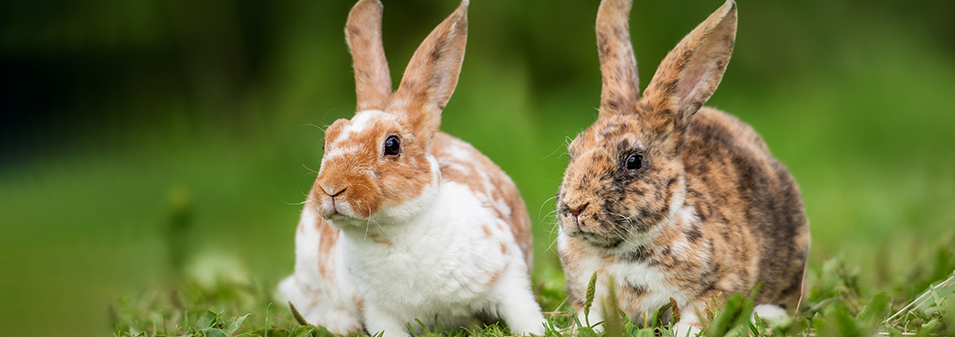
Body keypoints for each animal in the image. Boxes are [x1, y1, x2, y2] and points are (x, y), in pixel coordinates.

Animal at [276, 0, 544, 334]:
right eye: (326, 142)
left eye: (392, 145)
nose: (332, 189)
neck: (393, 232)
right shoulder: (378, 311)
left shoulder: (508, 278)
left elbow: (525, 314)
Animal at [556, 0, 812, 334]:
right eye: (572, 152)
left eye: (633, 161)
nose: (574, 207)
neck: (619, 251)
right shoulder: (587, 298)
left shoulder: (720, 287)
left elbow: (697, 317)